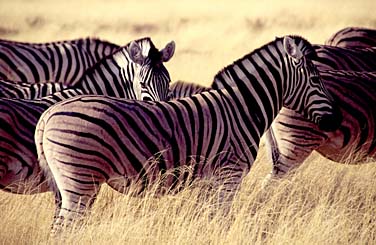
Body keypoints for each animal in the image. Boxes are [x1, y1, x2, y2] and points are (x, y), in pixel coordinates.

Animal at [35, 35, 344, 234]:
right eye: (316, 79)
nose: (337, 119)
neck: (242, 107)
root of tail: (49, 114)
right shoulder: (229, 175)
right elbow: (222, 222)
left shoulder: (208, 182)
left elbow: (209, 221)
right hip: (80, 183)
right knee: (63, 231)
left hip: (69, 187)